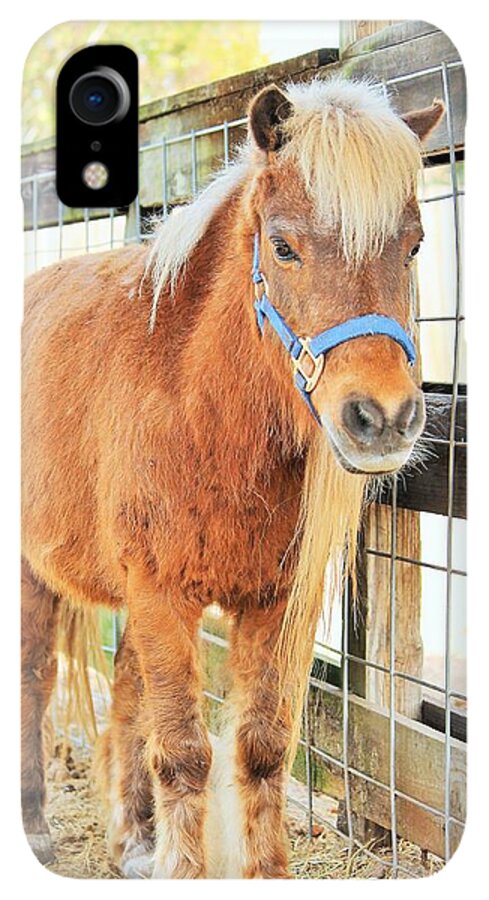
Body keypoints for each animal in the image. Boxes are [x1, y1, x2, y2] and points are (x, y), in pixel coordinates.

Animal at [21, 77, 444, 878]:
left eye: (413, 245)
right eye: (281, 246)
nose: (383, 417)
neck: (199, 408)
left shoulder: (270, 604)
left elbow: (260, 749)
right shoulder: (159, 594)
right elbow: (185, 754)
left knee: (126, 692)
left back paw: (133, 839)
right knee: (34, 677)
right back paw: (34, 825)